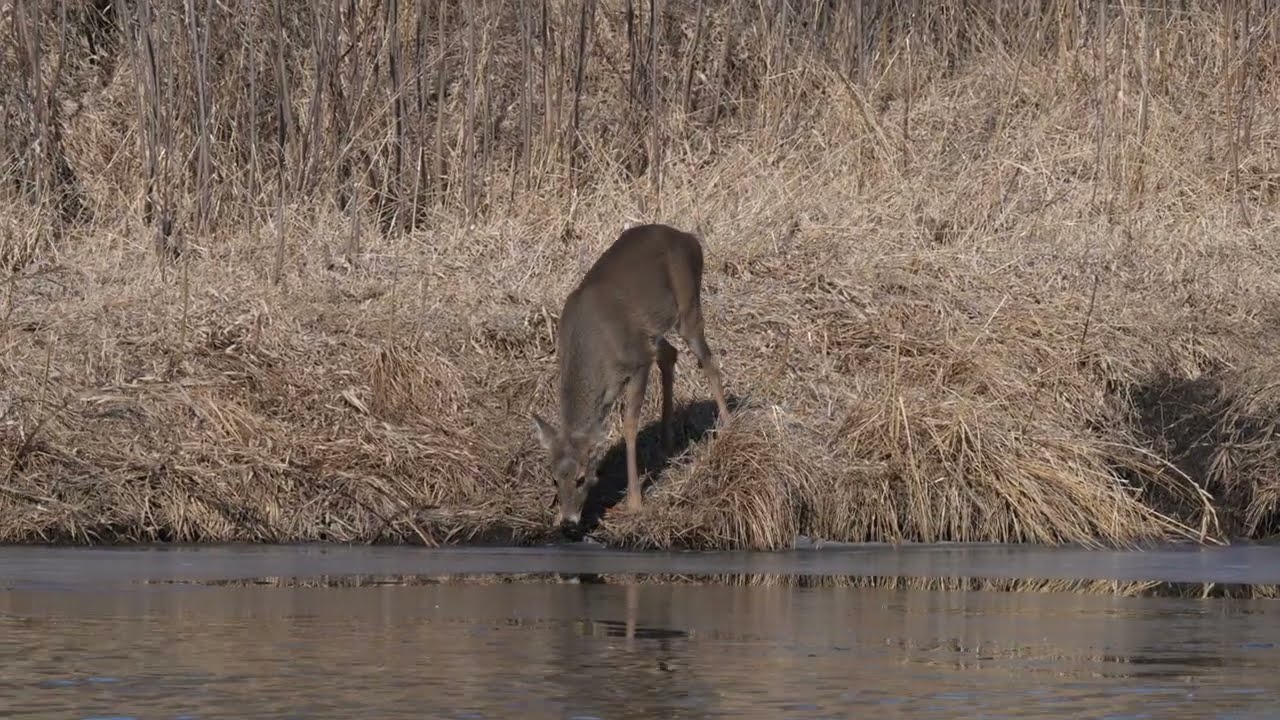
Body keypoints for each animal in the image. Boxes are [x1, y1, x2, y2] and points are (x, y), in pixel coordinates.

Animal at [531, 223, 732, 534]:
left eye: (581, 478)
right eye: (553, 478)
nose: (568, 523)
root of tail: (689, 238)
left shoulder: (637, 363)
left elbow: (628, 426)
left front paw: (635, 502)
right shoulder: (637, 355)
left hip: (688, 307)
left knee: (708, 363)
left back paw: (729, 426)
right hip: (652, 335)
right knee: (670, 353)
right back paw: (668, 440)